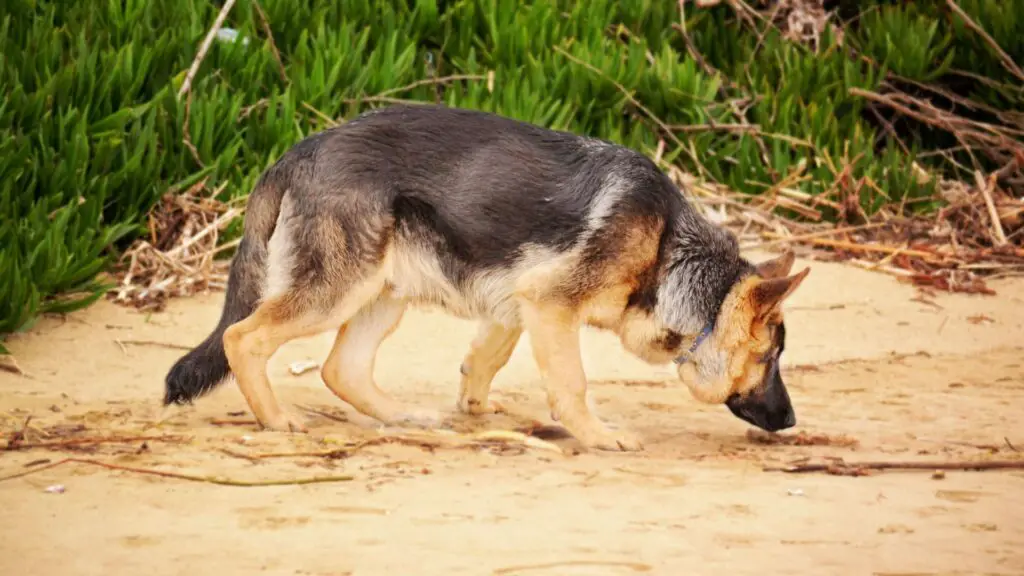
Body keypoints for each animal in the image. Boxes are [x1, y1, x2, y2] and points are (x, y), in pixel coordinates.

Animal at [165, 104, 806, 453]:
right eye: (771, 358)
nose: (793, 420)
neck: (670, 251)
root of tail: (297, 151)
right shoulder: (551, 305)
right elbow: (572, 385)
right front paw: (597, 435)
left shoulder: (520, 302)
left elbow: (486, 359)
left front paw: (474, 407)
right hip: (335, 293)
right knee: (241, 337)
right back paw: (276, 420)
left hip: (383, 293)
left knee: (340, 368)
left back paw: (403, 416)